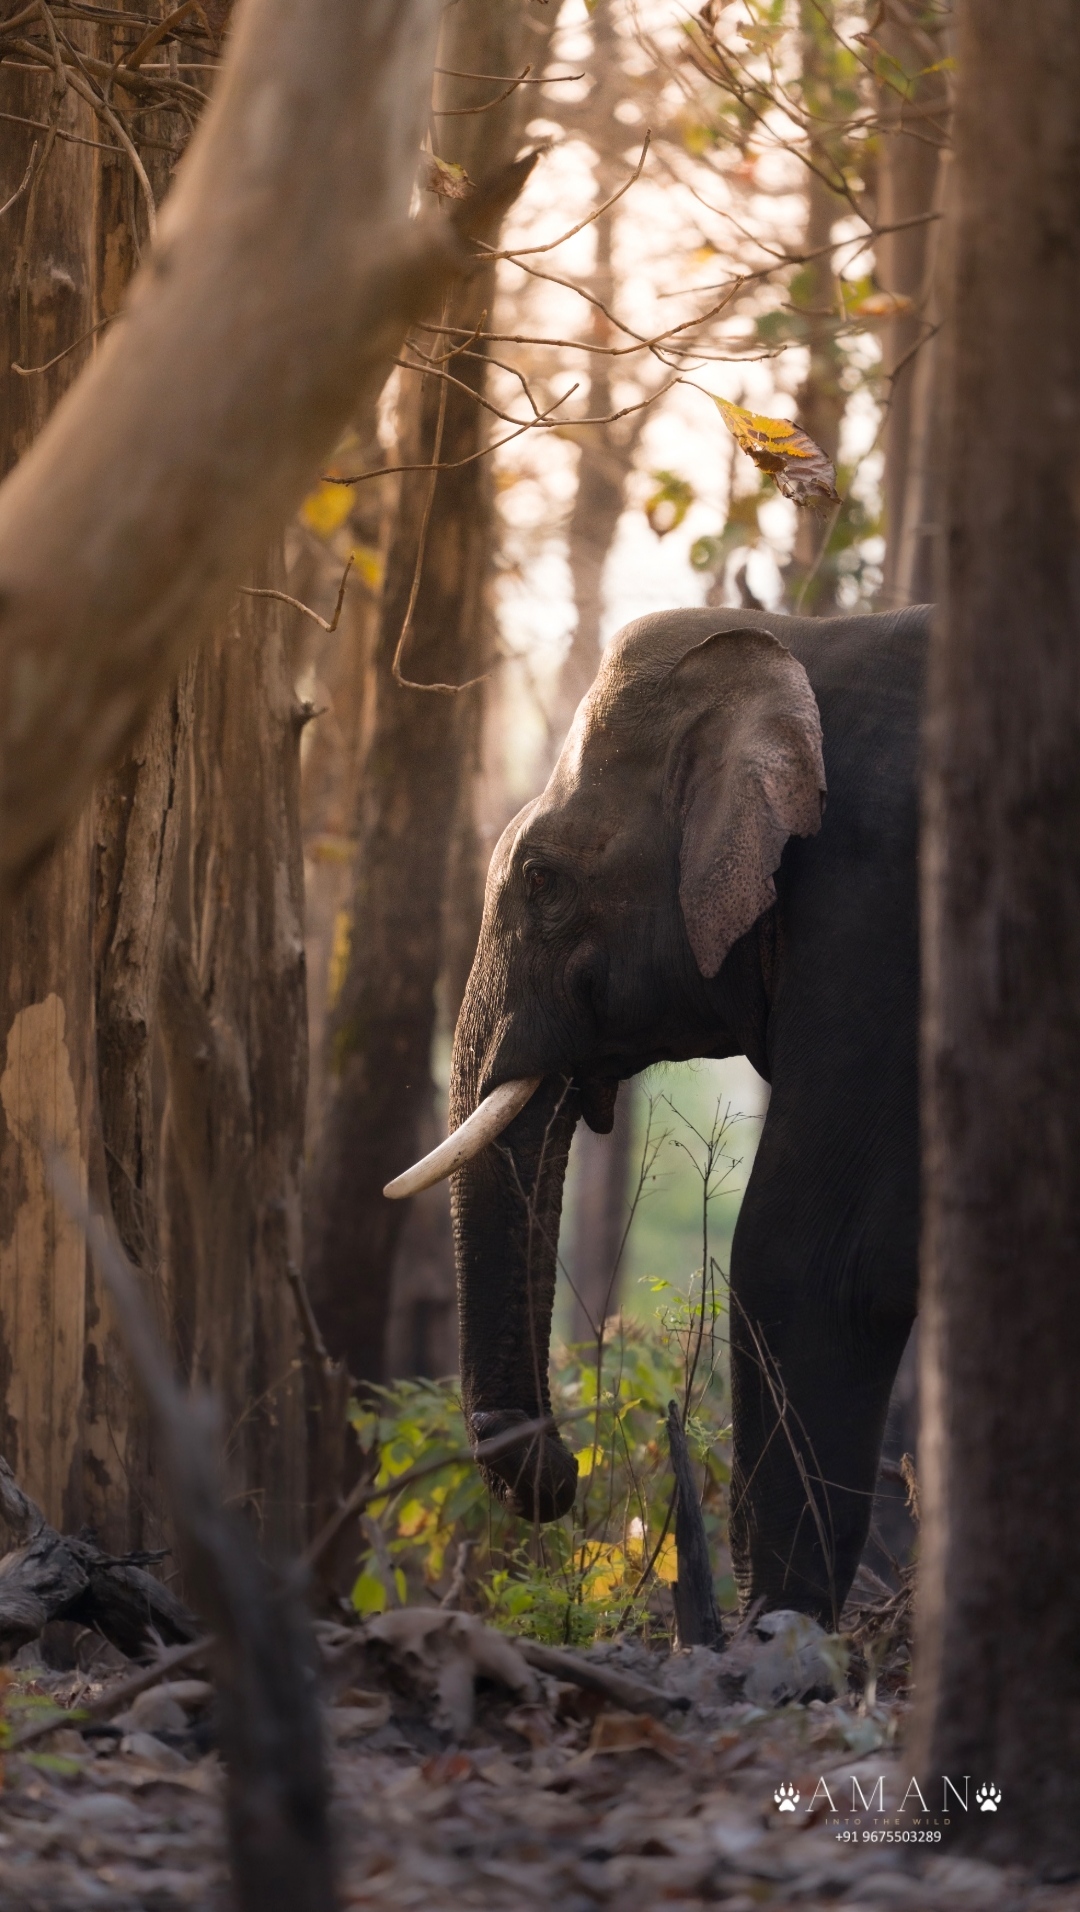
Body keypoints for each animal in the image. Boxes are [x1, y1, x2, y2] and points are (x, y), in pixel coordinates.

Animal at [387, 604, 925, 1626]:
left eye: (543, 881)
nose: (558, 1475)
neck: (793, 641)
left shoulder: (874, 917)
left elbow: (811, 1262)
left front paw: (774, 1630)